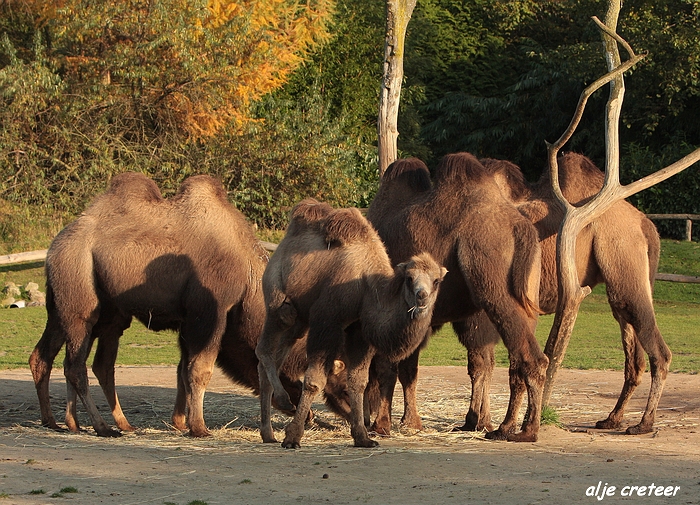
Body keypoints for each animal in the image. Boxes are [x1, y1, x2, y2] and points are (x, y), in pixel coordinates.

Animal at [29, 173, 352, 438]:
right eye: (341, 383)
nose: (350, 414)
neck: (247, 277)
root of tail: (55, 245)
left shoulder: (188, 320)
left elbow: (182, 371)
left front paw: (180, 422)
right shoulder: (210, 310)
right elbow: (200, 369)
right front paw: (199, 428)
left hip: (70, 306)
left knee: (51, 356)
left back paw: (63, 422)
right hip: (80, 297)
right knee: (76, 365)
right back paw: (102, 427)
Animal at [254, 199, 446, 446]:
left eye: (436, 280)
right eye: (409, 278)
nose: (421, 296)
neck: (368, 287)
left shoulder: (359, 331)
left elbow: (358, 381)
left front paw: (363, 437)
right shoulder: (326, 319)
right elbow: (314, 380)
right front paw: (293, 436)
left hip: (298, 319)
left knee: (274, 357)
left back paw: (268, 433)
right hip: (277, 300)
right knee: (264, 348)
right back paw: (283, 402)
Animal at [364, 153, 548, 440]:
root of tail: (520, 228)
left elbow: (387, 365)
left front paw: (382, 425)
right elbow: (407, 368)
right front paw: (410, 422)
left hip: (490, 279)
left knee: (528, 357)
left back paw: (526, 431)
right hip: (528, 292)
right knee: (511, 360)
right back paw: (500, 427)